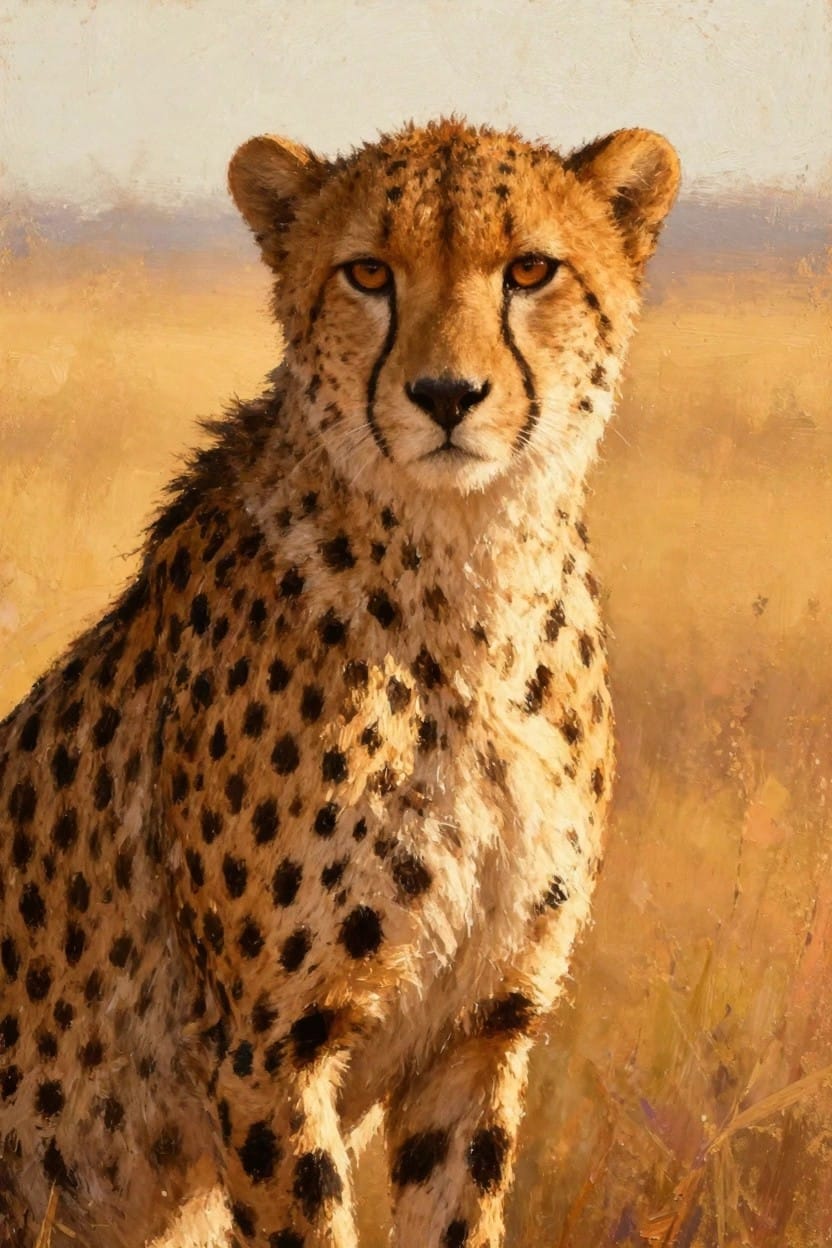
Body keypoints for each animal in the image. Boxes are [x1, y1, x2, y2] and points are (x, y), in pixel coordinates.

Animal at [0, 117, 679, 1247]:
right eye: (368, 273)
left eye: (529, 270)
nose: (446, 396)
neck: (467, 587)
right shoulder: (268, 1046)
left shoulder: (478, 1030)